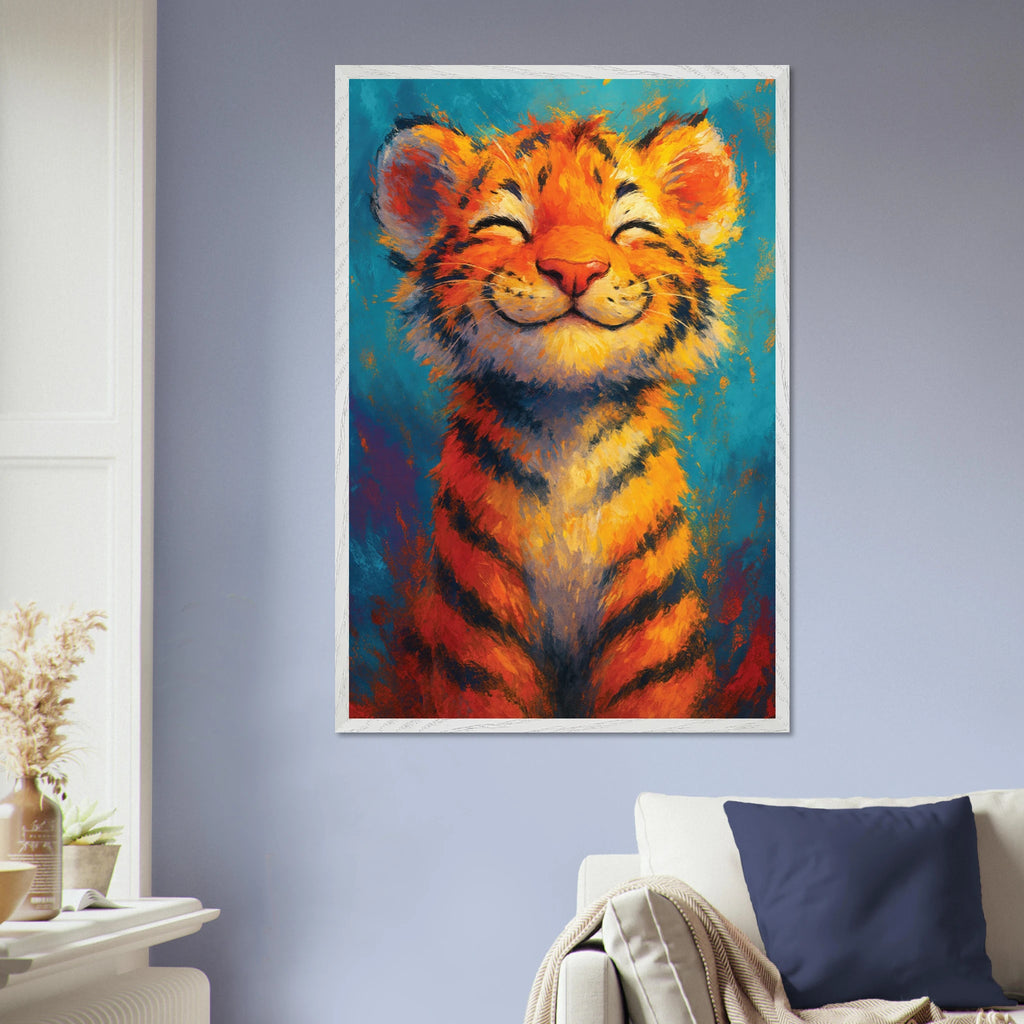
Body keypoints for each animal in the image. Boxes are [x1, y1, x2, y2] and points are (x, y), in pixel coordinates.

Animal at [368, 108, 743, 718]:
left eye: (630, 227)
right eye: (507, 223)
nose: (575, 269)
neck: (567, 421)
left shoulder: (651, 652)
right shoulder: (480, 651)